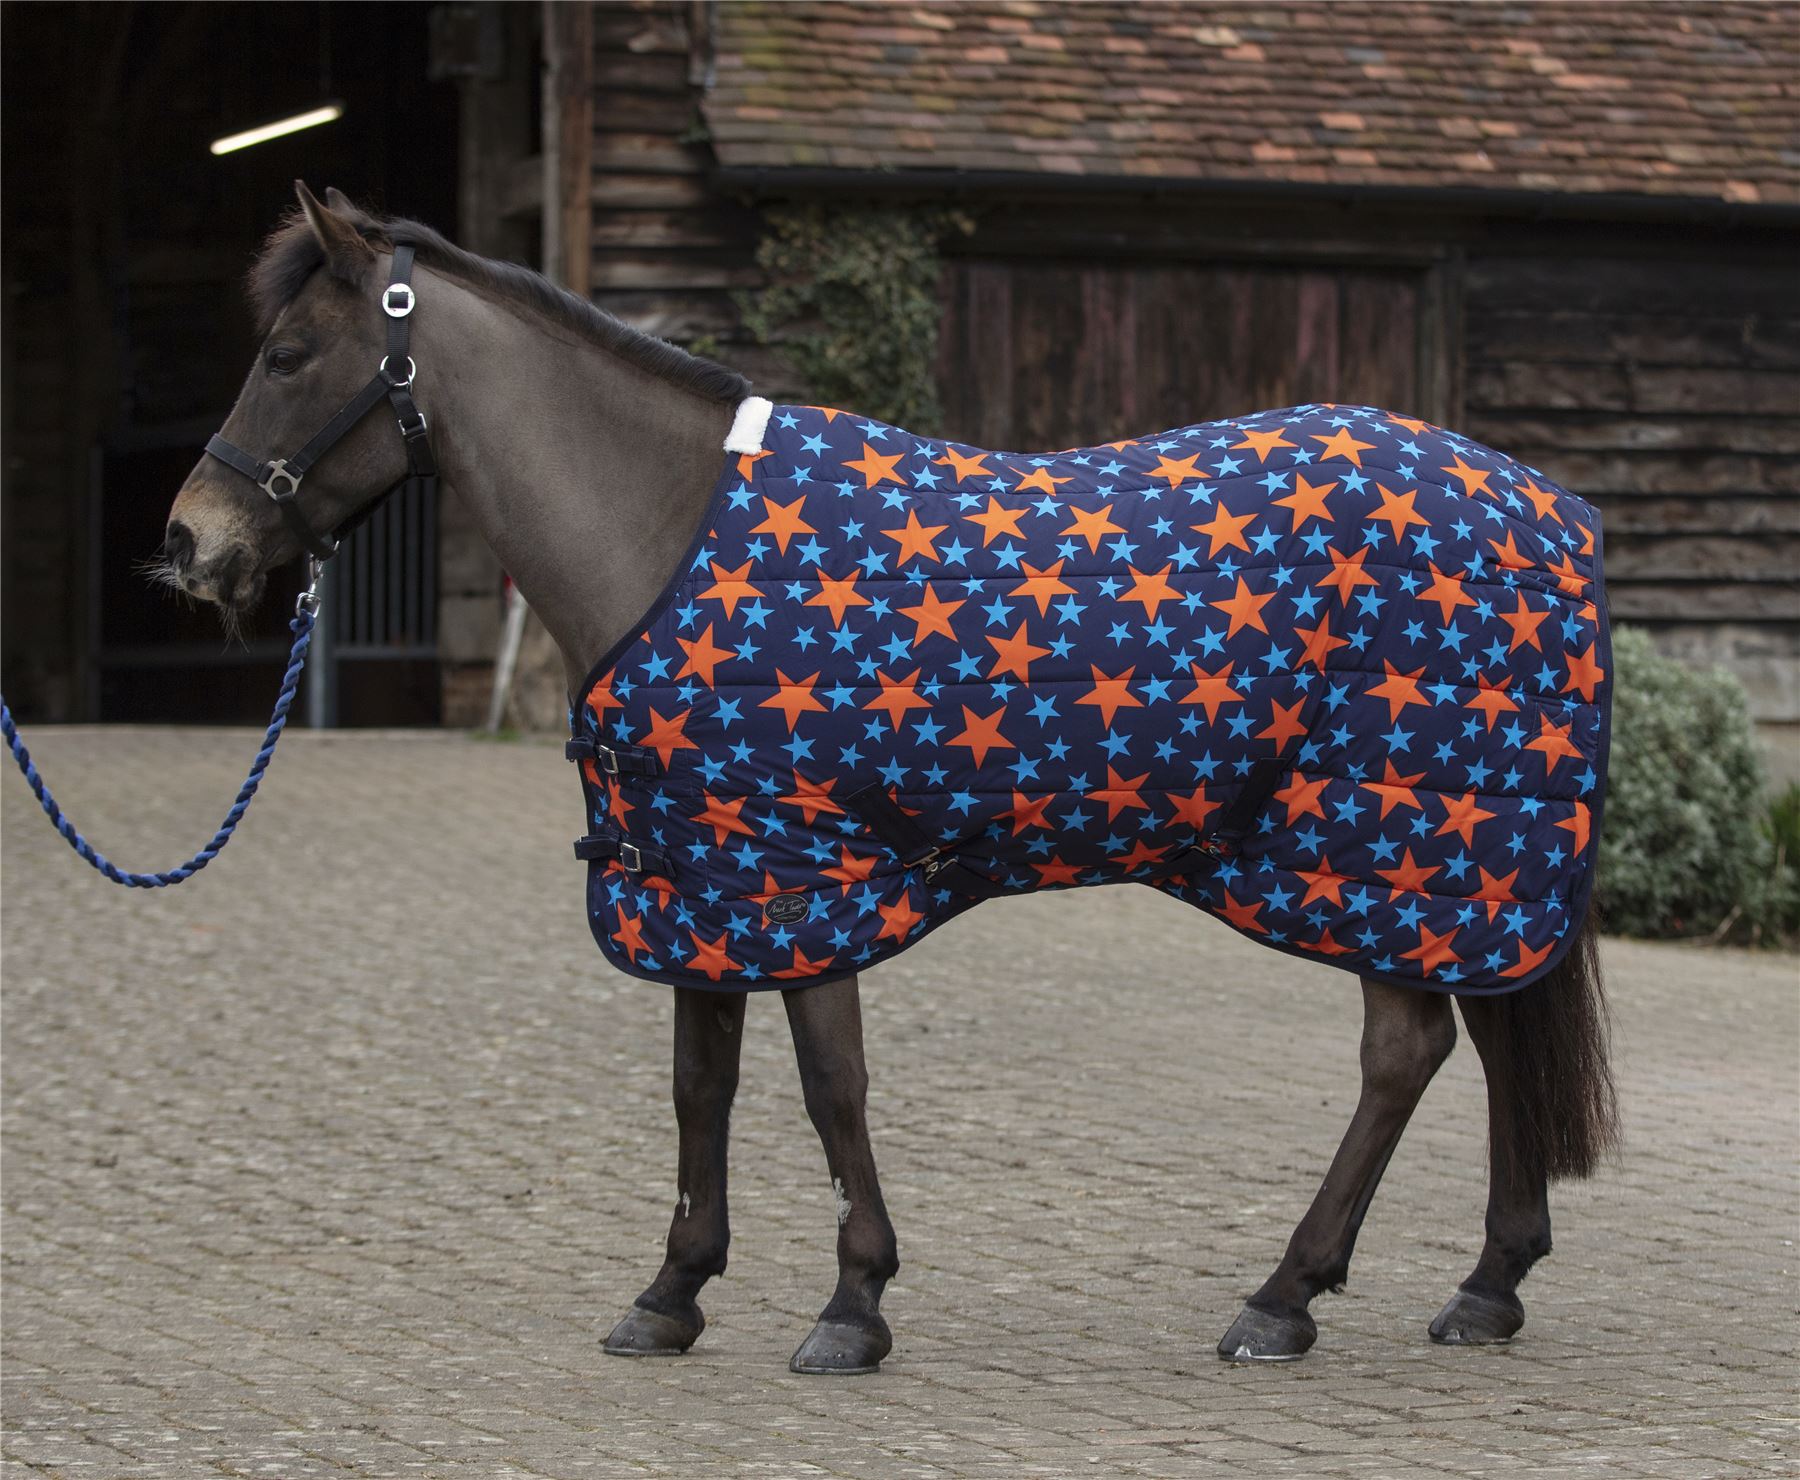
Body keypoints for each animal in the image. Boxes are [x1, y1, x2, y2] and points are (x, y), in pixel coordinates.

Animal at [162, 183, 1618, 1376]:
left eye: (288, 355)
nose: (190, 543)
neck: (672, 533)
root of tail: (1545, 506)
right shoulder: (705, 871)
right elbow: (702, 1085)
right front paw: (671, 1293)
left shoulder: (807, 872)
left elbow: (829, 1083)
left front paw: (851, 1304)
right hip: (1451, 853)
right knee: (1491, 1032)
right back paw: (1486, 1283)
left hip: (1390, 840)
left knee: (1405, 1051)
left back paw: (1283, 1297)